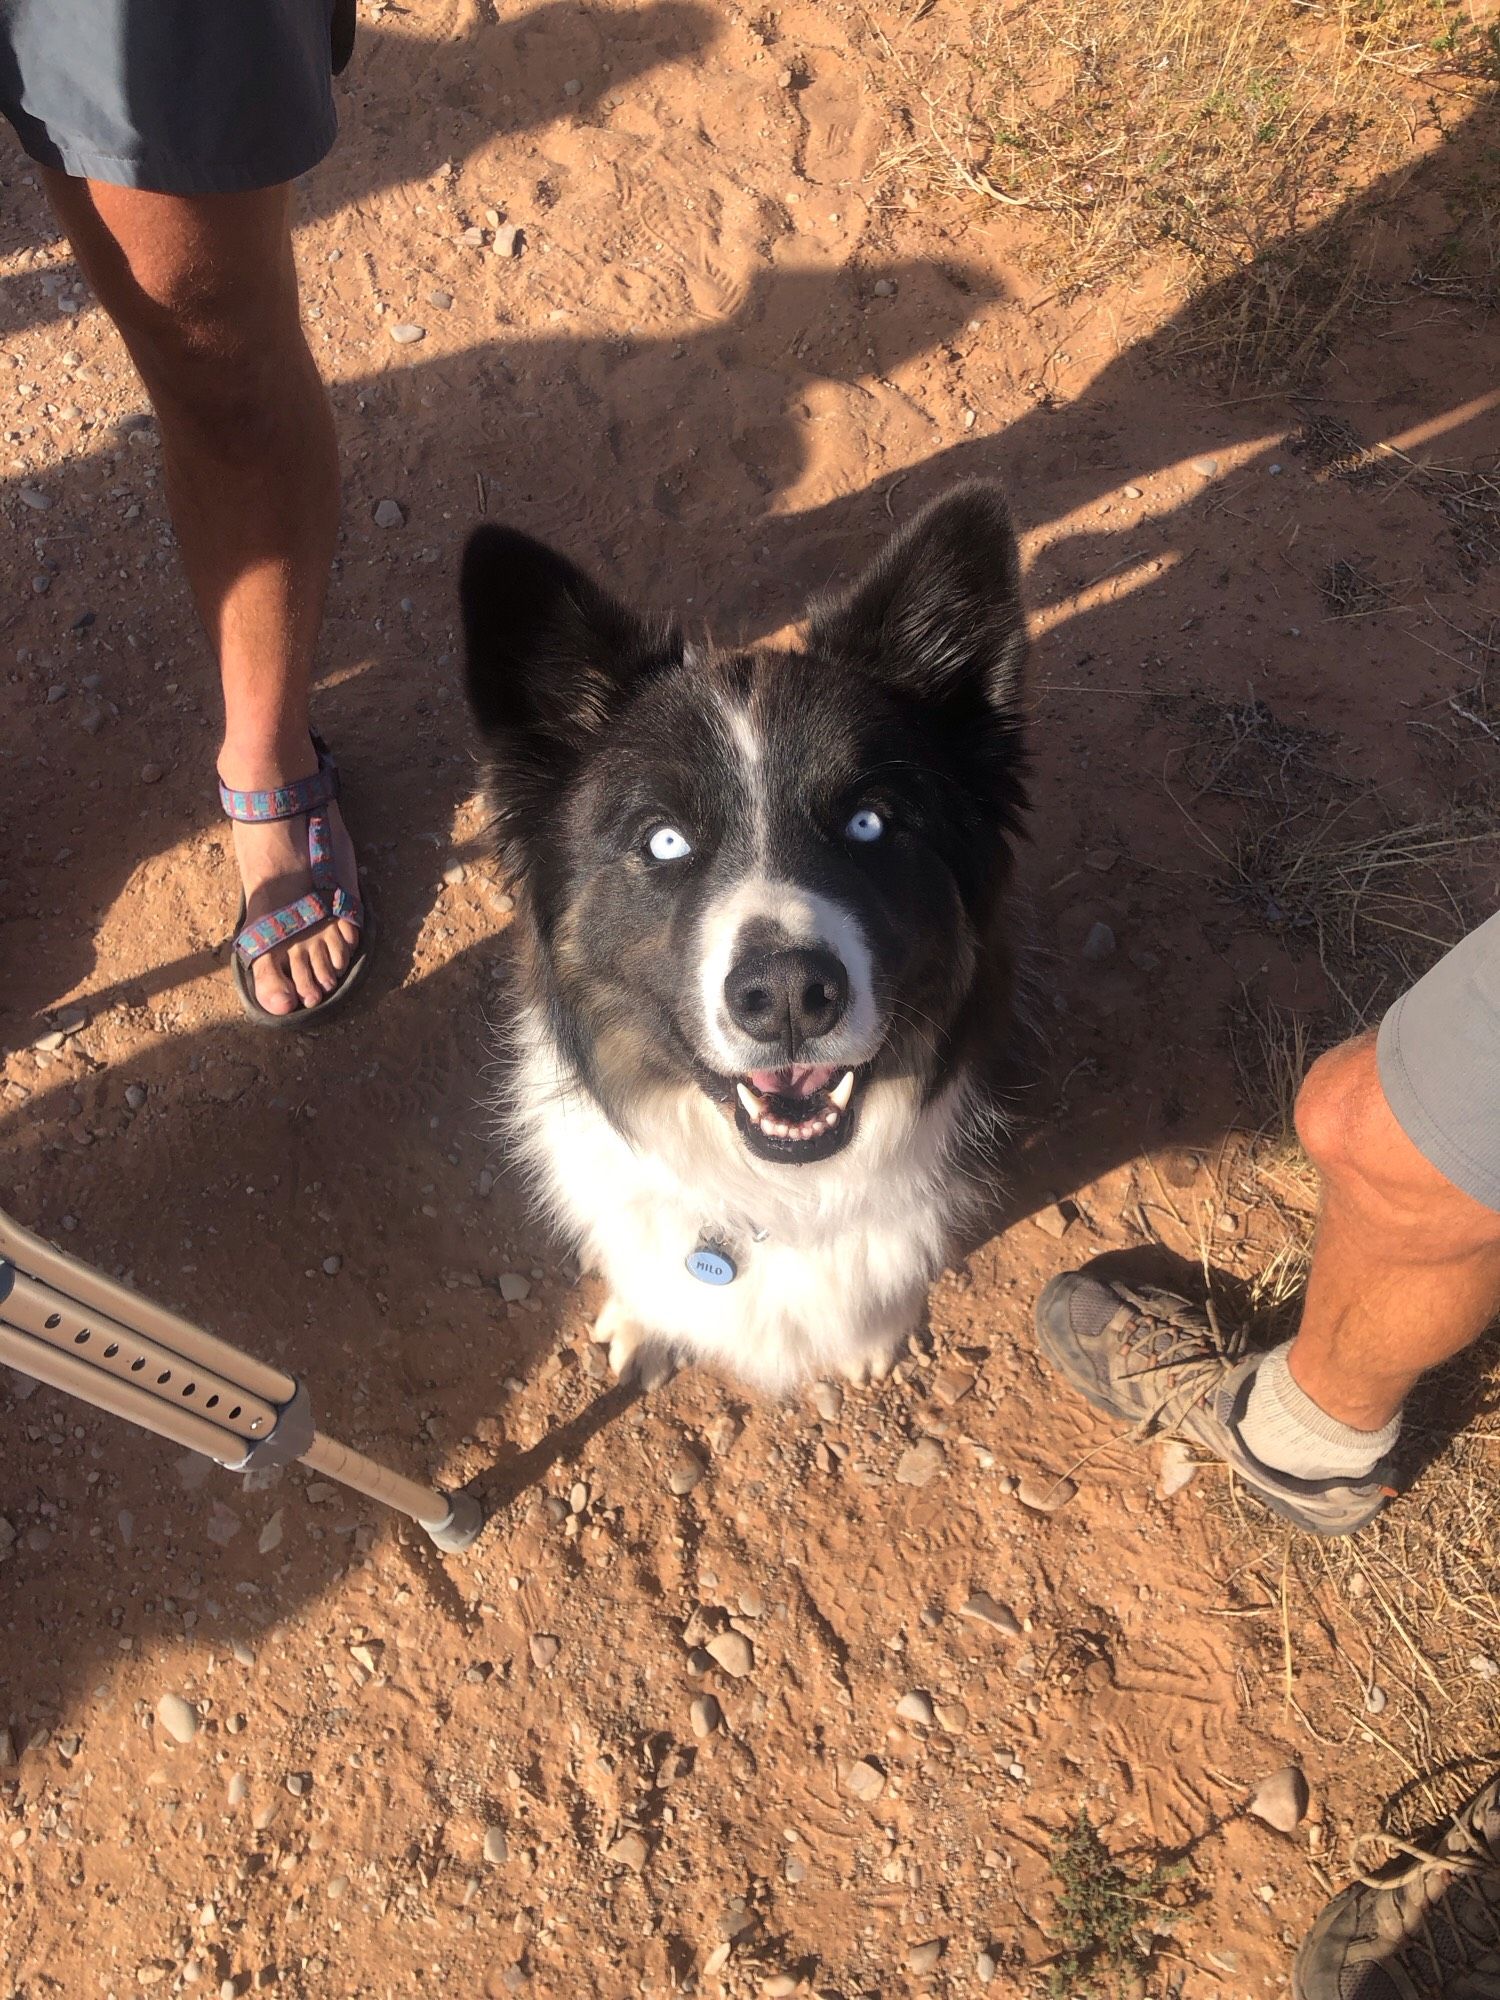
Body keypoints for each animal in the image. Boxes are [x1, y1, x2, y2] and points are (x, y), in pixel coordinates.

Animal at [464, 480, 1032, 1392]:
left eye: (870, 822)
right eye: (664, 840)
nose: (791, 996)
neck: (778, 1196)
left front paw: (871, 1333)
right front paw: (646, 1318)